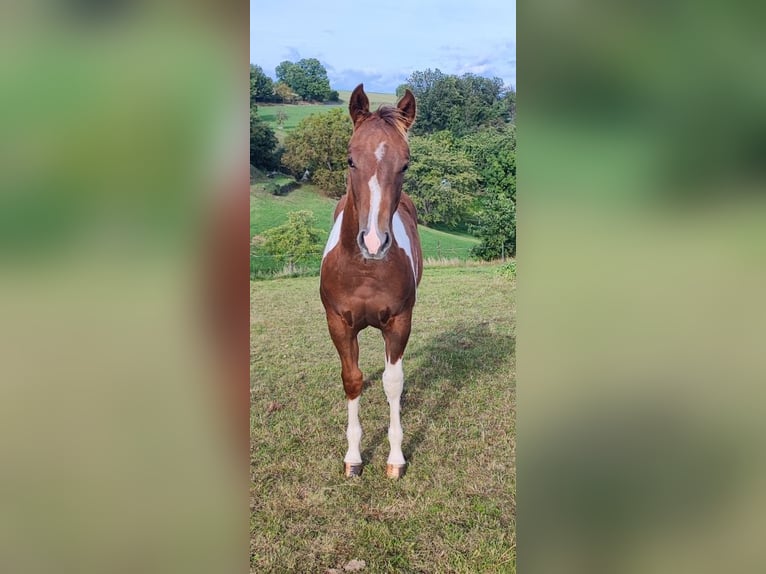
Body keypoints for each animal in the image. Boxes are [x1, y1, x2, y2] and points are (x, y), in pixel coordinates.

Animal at [320, 84, 426, 482]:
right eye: (350, 159)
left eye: (405, 164)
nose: (374, 241)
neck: (363, 270)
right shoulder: (338, 323)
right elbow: (351, 379)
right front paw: (353, 458)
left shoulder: (398, 321)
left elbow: (392, 382)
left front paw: (395, 459)